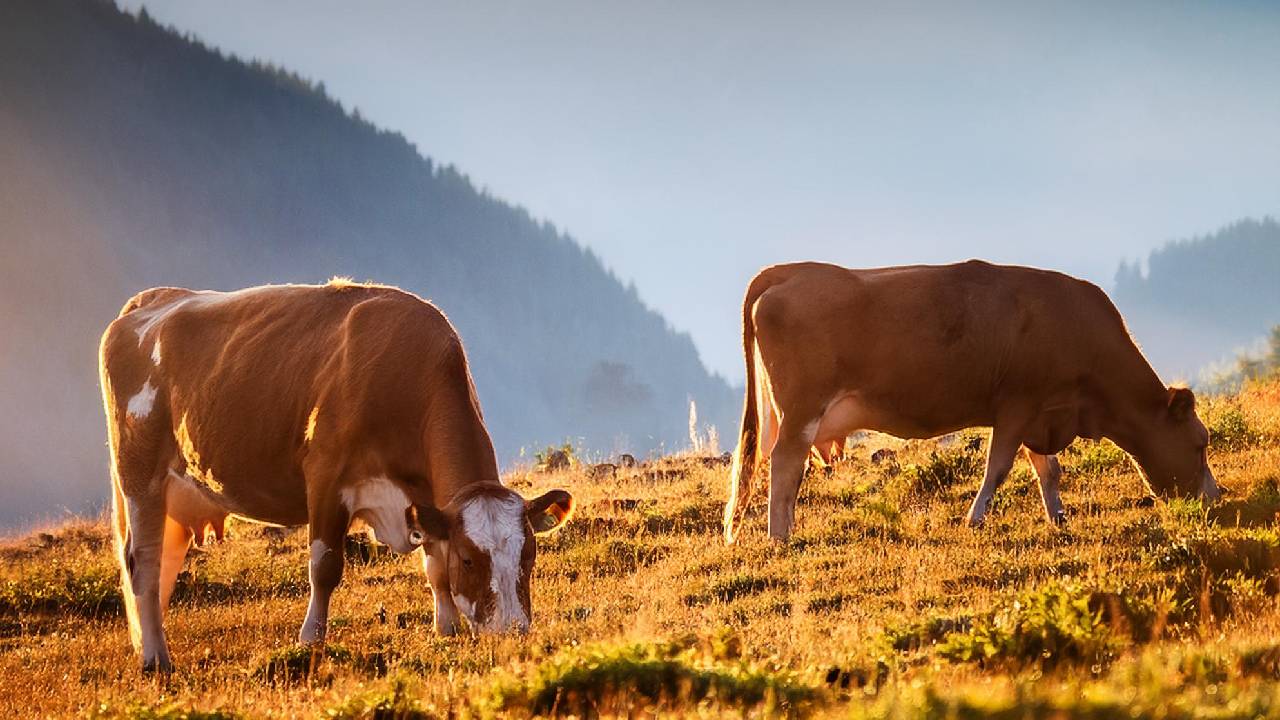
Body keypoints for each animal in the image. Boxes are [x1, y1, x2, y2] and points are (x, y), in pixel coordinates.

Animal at [99, 279, 576, 666]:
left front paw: (447, 627)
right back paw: (156, 659)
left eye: (529, 555)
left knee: (162, 562)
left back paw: (149, 645)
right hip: (138, 473)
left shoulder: (427, 499)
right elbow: (326, 566)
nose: (512, 630)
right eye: (470, 559)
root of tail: (153, 300)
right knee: (142, 560)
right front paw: (311, 639)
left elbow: (434, 567)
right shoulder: (326, 476)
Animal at [727, 260, 1213, 540]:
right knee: (785, 462)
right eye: (1200, 443)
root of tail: (793, 270)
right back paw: (779, 537)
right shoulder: (1018, 403)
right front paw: (975, 517)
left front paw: (1057, 517)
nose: (1215, 495)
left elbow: (1049, 471)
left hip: (784, 411)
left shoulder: (1042, 413)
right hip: (802, 409)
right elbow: (998, 467)